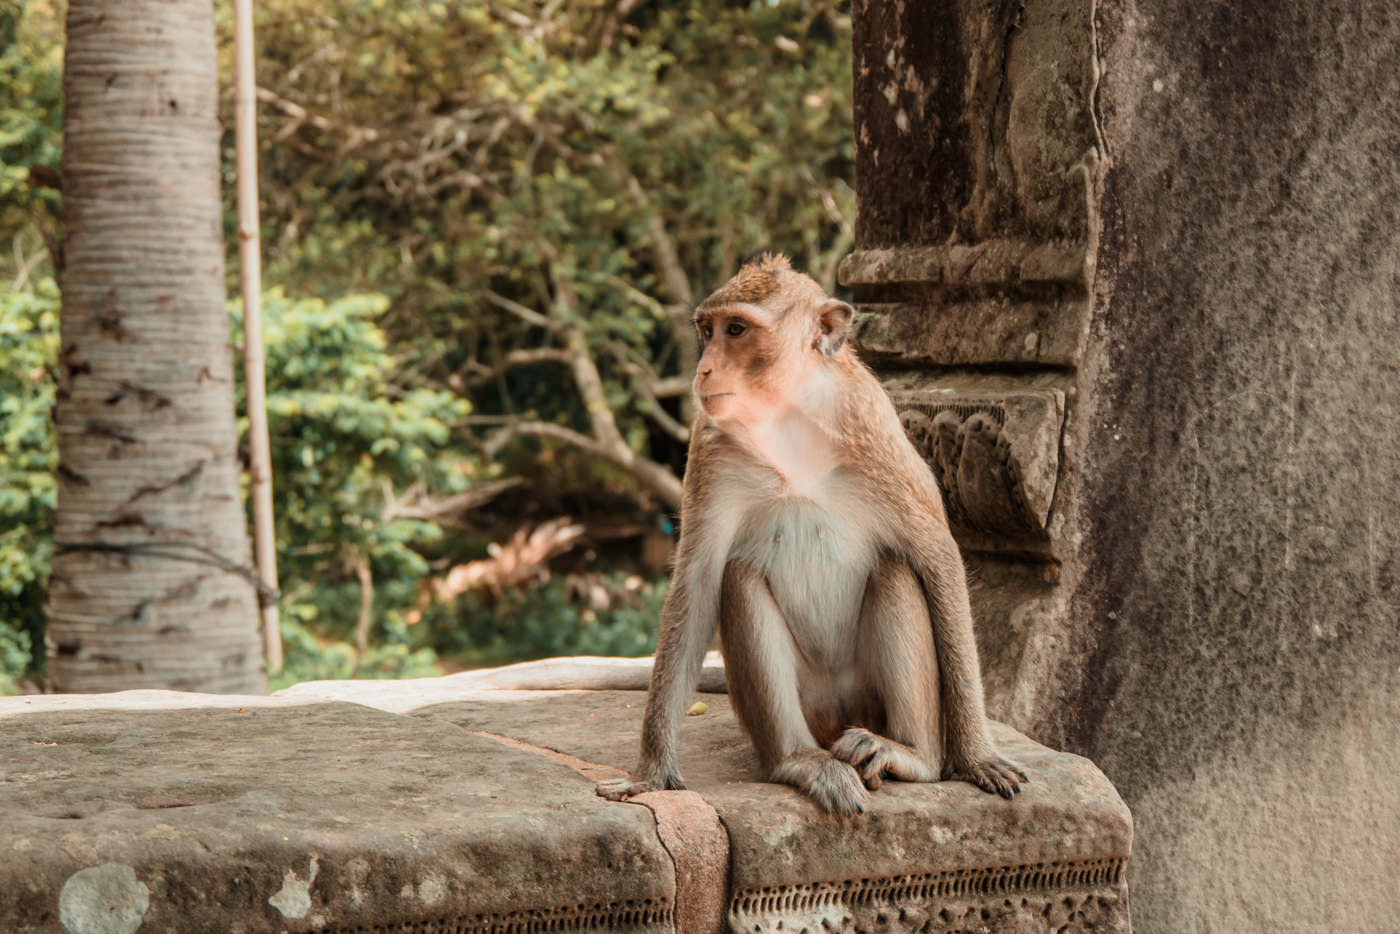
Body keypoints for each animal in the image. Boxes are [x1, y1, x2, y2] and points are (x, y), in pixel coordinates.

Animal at [596, 252, 1024, 812]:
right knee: (739, 580)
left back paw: (912, 756)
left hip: (866, 698)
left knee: (896, 570)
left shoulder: (874, 429)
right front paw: (650, 772)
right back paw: (799, 761)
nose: (704, 368)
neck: (787, 415)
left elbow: (937, 557)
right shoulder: (710, 447)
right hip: (809, 705)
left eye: (736, 330)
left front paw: (975, 757)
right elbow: (698, 581)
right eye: (706, 331)